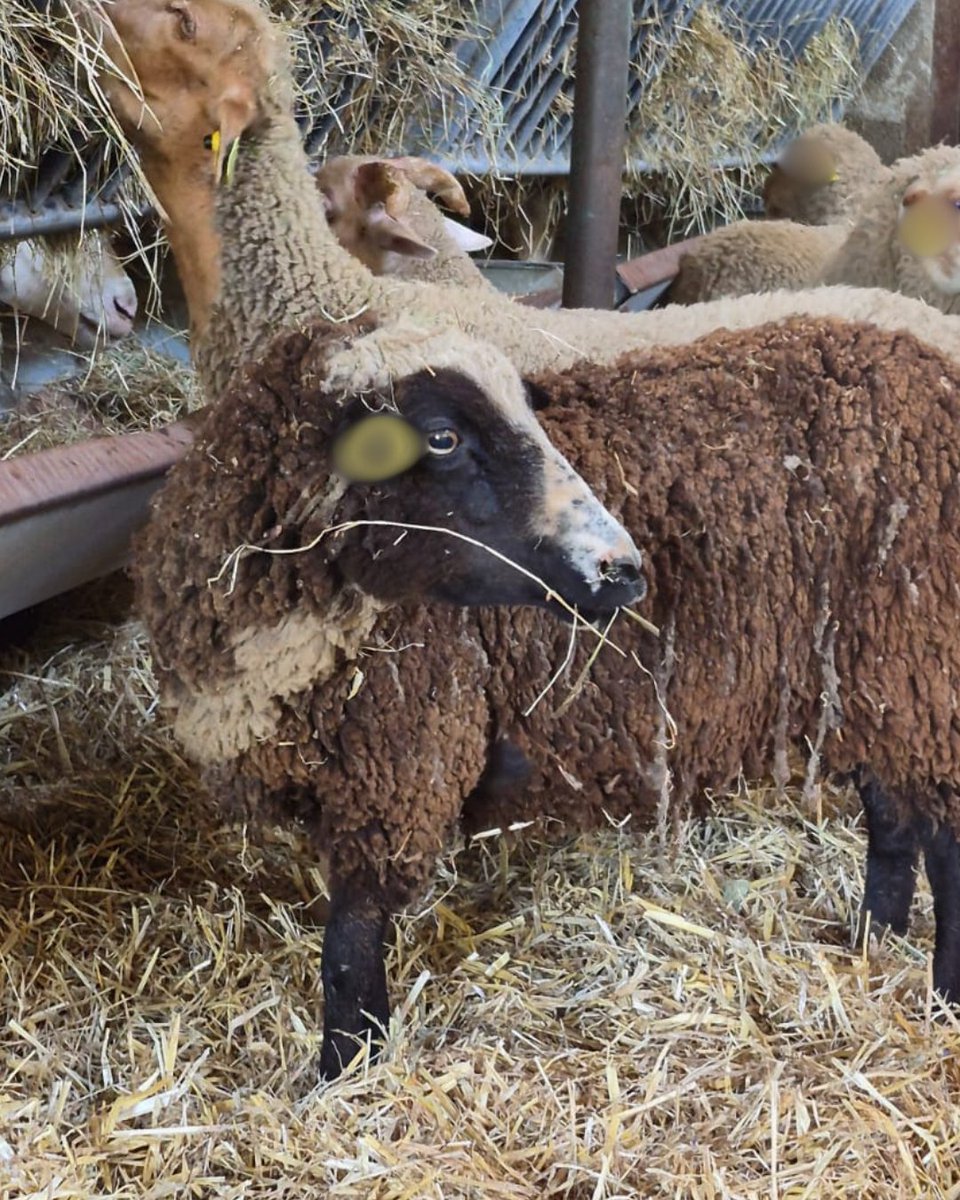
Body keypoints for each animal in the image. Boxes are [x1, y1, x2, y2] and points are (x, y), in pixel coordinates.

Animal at [134, 302, 960, 1078]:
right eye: (441, 437)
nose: (623, 571)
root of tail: (931, 371)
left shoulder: (400, 775)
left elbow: (348, 947)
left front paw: (348, 1070)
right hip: (881, 682)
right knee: (893, 819)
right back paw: (872, 939)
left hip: (926, 668)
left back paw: (942, 996)